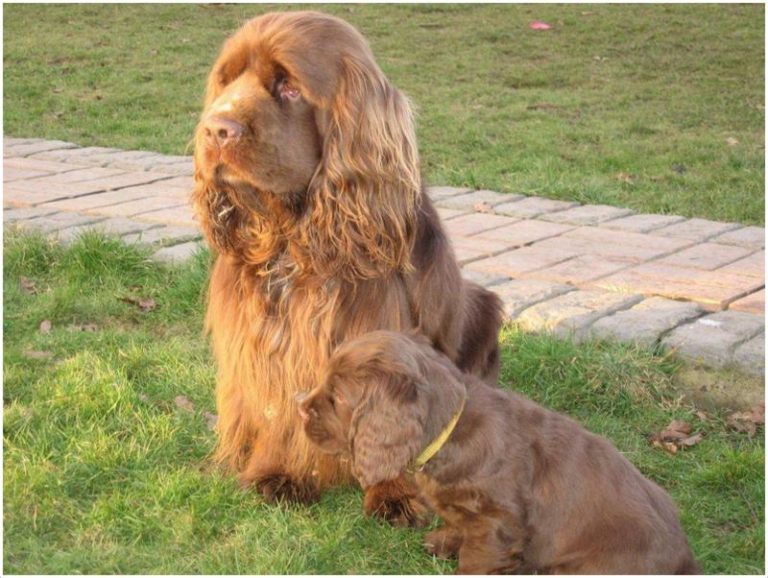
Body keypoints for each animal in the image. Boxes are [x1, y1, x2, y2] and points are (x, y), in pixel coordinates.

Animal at [192, 9, 504, 512]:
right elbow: (276, 409)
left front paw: (395, 493)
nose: (216, 129)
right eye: (225, 80)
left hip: (485, 308)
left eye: (289, 86)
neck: (294, 239)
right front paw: (279, 474)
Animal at [300, 328, 704, 572]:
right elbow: (456, 525)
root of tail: (687, 561)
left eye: (337, 399)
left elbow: (477, 558)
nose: (300, 407)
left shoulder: (497, 522)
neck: (450, 432)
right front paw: (443, 540)